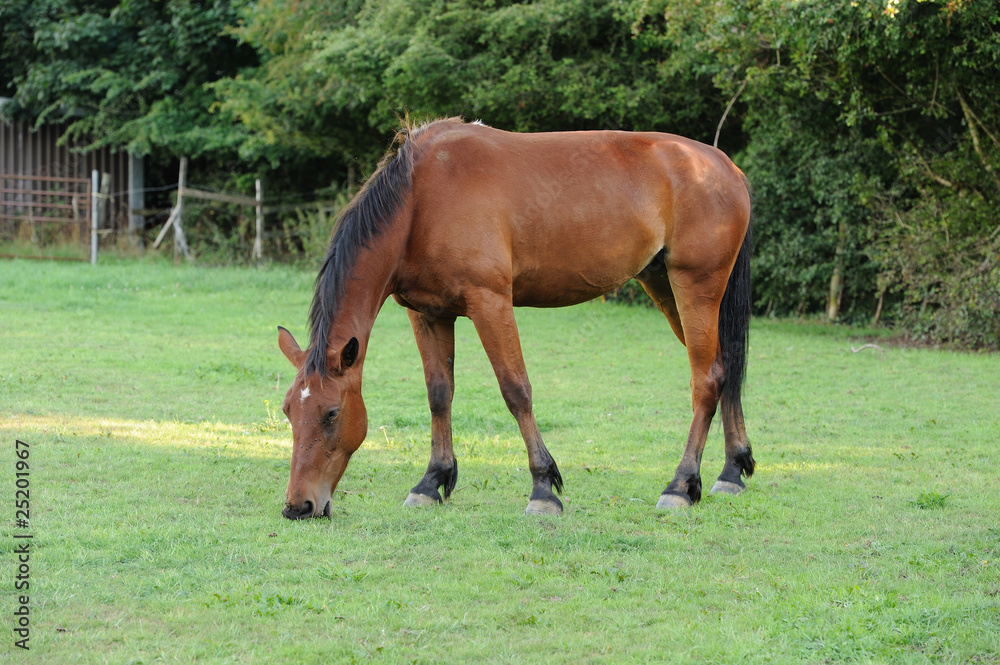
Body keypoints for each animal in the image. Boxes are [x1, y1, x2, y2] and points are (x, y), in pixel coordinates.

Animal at [274, 118, 752, 520]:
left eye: (331, 413)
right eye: (288, 411)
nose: (299, 506)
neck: (420, 200)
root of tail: (725, 167)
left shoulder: (490, 303)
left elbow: (516, 390)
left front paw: (543, 488)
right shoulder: (427, 315)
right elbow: (439, 394)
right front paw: (431, 482)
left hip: (695, 289)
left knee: (706, 381)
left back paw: (681, 485)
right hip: (666, 288)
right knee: (726, 369)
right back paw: (731, 472)